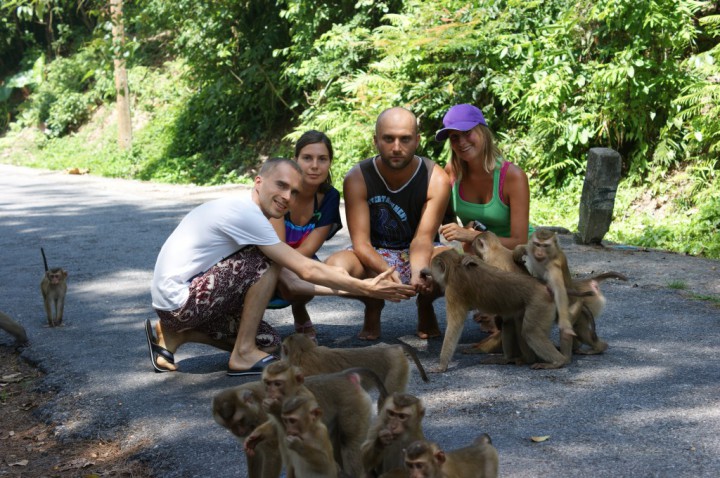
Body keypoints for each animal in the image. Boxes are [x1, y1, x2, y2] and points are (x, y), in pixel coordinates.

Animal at [416, 248, 568, 372]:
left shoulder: (453, 290)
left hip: (539, 303)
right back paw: (516, 359)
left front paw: (442, 365)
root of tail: (544, 288)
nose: (427, 270)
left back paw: (558, 361)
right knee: (511, 322)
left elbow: (455, 326)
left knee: (530, 332)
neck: (455, 266)